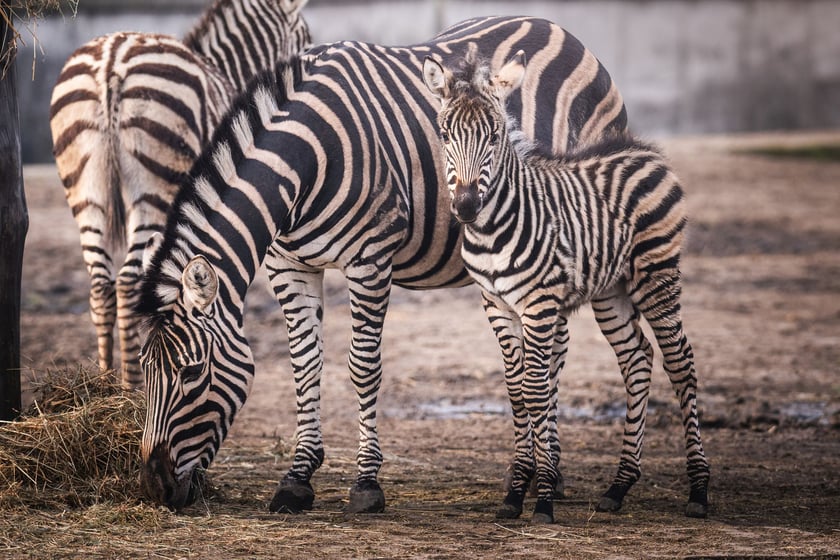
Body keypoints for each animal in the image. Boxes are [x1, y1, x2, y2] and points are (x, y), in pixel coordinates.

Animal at [49, 0, 312, 390]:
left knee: (99, 284)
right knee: (127, 282)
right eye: (304, 39)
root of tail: (112, 63)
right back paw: (130, 387)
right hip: (153, 187)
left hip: (84, 189)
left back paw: (104, 382)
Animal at [135, 16, 628, 516]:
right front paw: (297, 476)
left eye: (192, 372)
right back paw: (549, 474)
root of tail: (557, 28)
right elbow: (304, 363)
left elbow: (362, 365)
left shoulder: (369, 259)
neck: (304, 163)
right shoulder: (287, 264)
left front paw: (367, 481)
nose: (153, 487)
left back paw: (549, 477)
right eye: (144, 370)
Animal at [420, 50, 708, 524]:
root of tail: (647, 152)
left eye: (494, 135)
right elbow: (516, 391)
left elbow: (538, 390)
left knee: (680, 362)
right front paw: (515, 493)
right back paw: (618, 486)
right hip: (612, 292)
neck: (492, 229)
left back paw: (699, 490)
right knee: (637, 359)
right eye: (444, 134)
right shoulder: (496, 305)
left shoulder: (539, 305)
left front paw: (542, 499)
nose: (465, 206)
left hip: (656, 274)